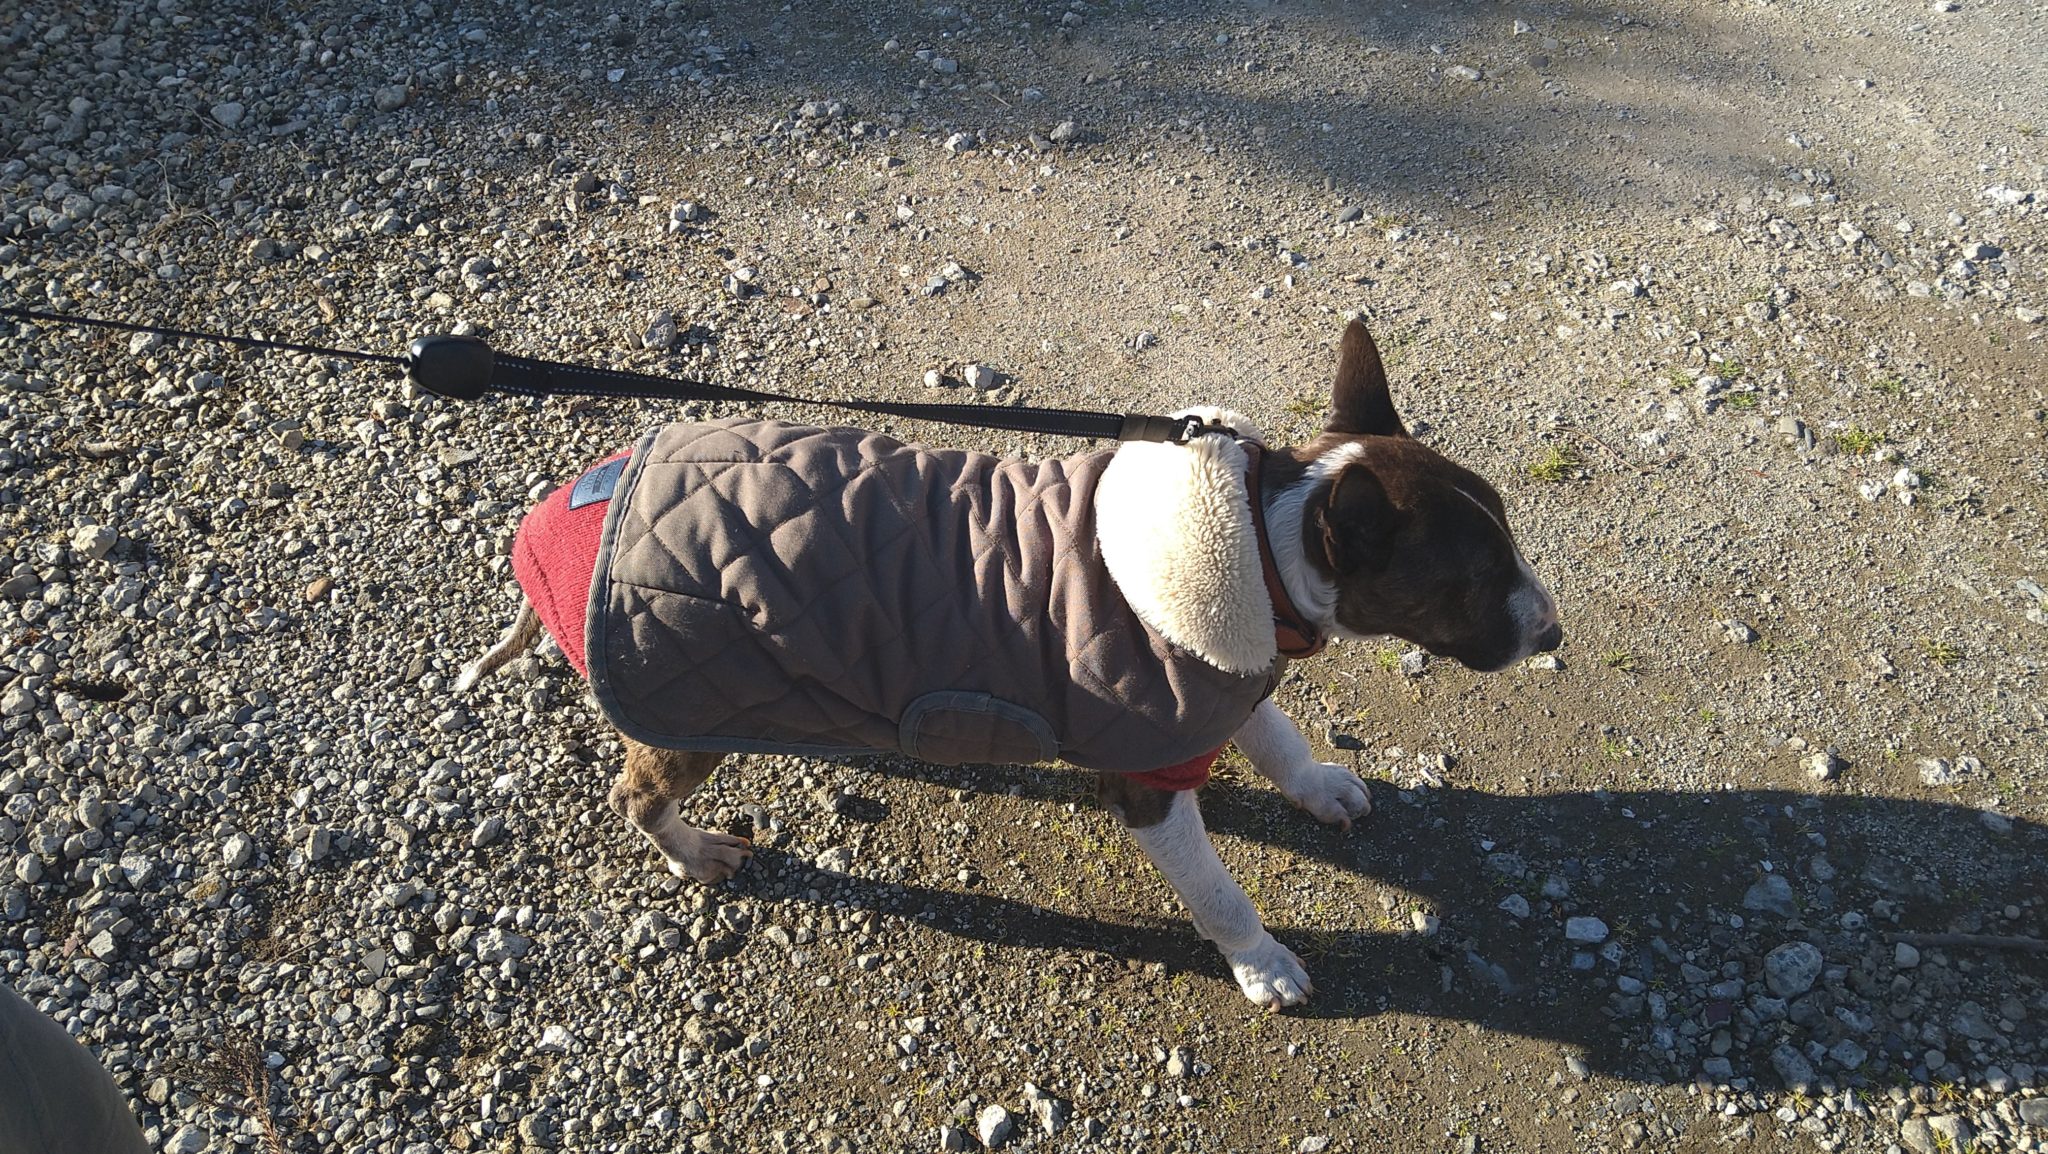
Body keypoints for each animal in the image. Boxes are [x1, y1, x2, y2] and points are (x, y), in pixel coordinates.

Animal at [457, 319, 1560, 1009]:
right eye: (1471, 579)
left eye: (1510, 538)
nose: (1553, 633)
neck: (1258, 539)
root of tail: (557, 513)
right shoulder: (1148, 777)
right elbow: (1218, 892)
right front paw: (1263, 964)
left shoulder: (1225, 673)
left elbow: (1277, 735)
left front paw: (1320, 786)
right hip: (683, 696)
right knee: (635, 794)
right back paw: (690, 849)